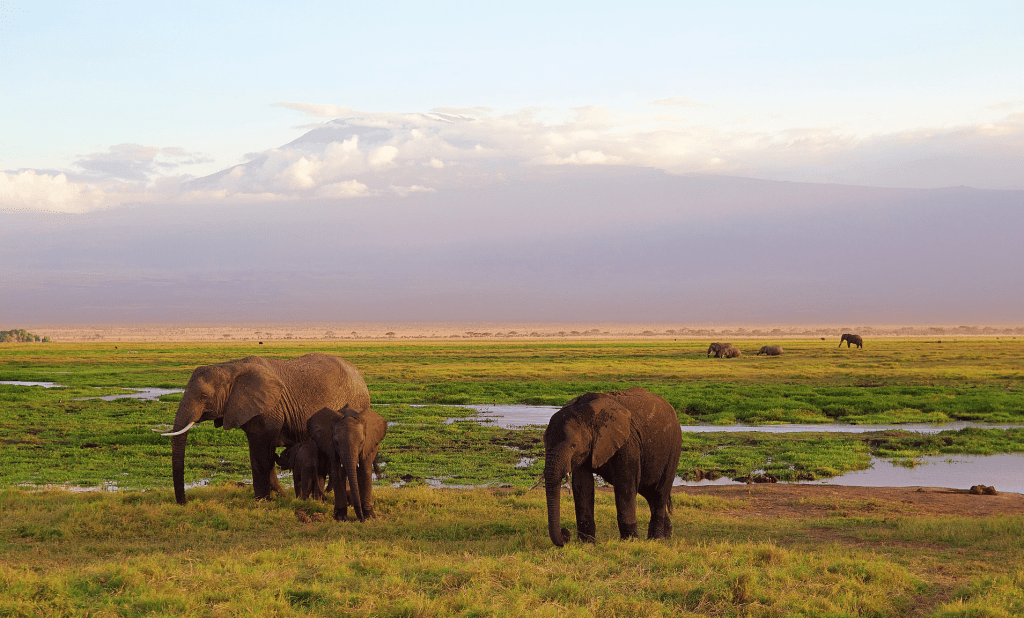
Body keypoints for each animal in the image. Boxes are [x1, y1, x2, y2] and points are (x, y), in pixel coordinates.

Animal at [159, 353, 370, 504]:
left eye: (203, 396)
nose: (183, 503)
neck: (229, 367)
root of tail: (360, 376)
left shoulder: (268, 409)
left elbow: (261, 453)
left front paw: (261, 502)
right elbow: (260, 454)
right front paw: (276, 497)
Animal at [543, 387, 682, 547]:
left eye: (573, 445)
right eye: (544, 443)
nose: (566, 534)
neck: (589, 413)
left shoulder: (628, 442)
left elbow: (625, 485)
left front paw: (629, 542)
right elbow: (582, 485)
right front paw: (587, 543)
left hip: (673, 447)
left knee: (660, 492)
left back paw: (657, 539)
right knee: (649, 492)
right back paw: (667, 535)